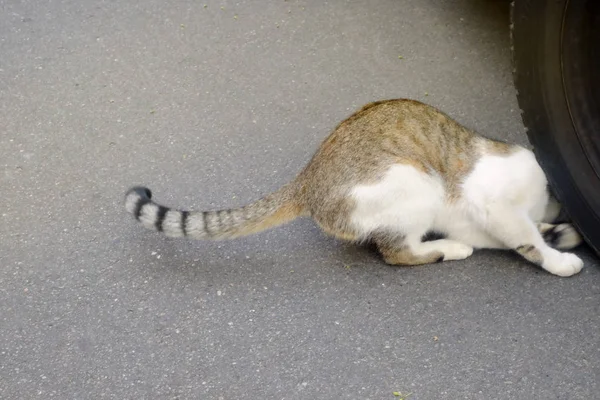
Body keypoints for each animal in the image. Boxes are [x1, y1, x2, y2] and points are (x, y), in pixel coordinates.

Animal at [123, 98, 584, 276]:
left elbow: (520, 236)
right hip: (416, 182)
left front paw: (559, 234)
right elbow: (528, 240)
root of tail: (308, 178)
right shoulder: (497, 204)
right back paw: (445, 250)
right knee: (397, 252)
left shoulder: (481, 221)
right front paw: (559, 258)